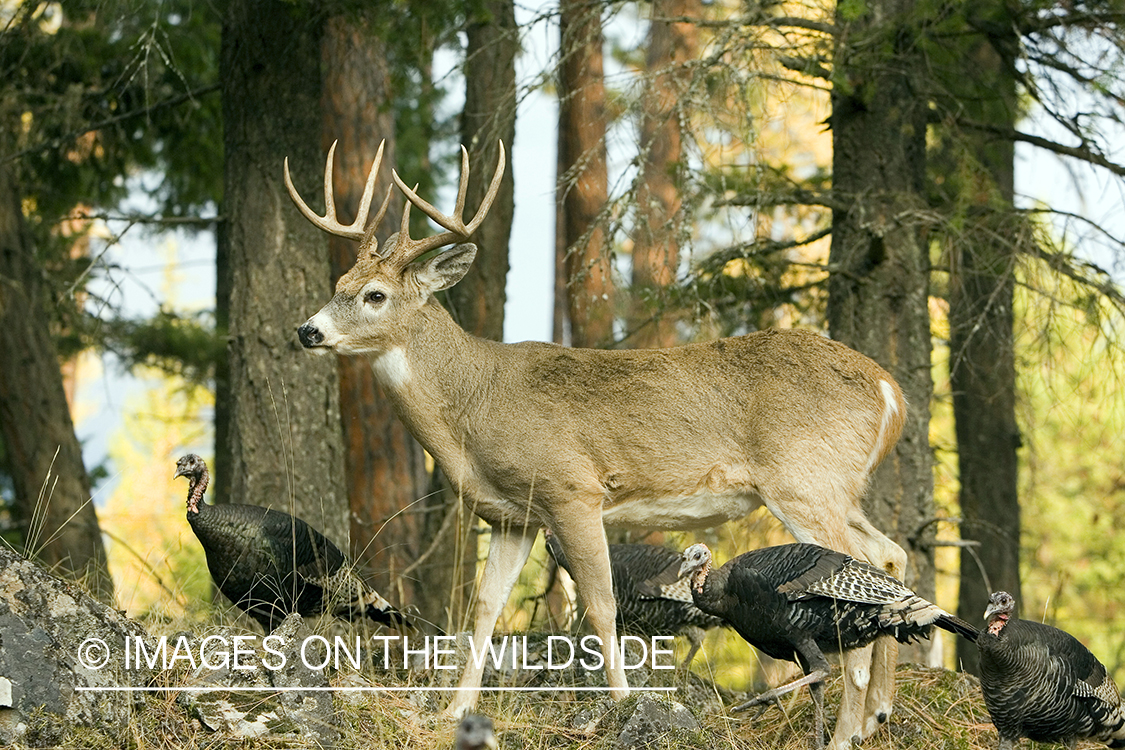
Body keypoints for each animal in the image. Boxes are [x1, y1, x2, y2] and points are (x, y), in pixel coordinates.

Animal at [287, 140, 910, 750]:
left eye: (374, 295)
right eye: (336, 287)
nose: (307, 330)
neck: (475, 406)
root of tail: (890, 390)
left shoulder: (573, 490)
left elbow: (601, 604)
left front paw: (624, 703)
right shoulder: (513, 515)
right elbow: (486, 607)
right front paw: (455, 709)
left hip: (802, 480)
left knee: (857, 574)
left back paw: (846, 733)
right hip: (837, 485)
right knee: (888, 554)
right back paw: (877, 714)